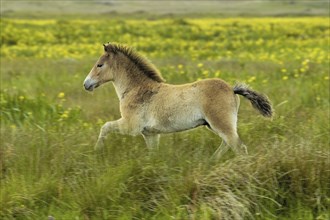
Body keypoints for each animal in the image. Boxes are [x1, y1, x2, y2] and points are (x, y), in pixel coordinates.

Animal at [83, 42, 274, 156]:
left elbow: (105, 127)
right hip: (214, 125)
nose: (86, 84)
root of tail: (232, 89)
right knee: (227, 144)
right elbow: (153, 155)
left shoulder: (131, 126)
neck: (136, 89)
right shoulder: (150, 134)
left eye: (99, 65)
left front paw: (97, 150)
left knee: (238, 147)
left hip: (221, 123)